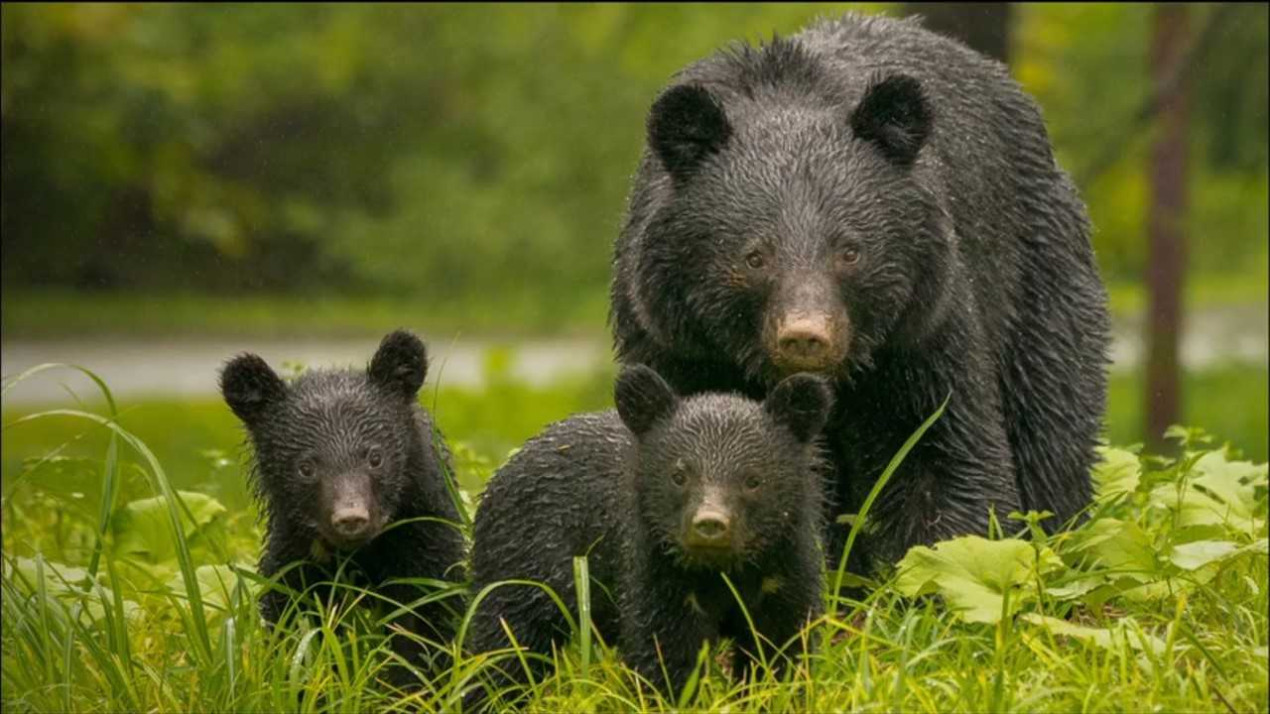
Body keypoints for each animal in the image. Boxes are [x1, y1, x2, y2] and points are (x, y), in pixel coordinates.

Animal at [609, 12, 1107, 566]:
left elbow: (936, 453)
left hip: (1036, 277)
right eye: (755, 256)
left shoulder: (919, 331)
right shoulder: (677, 340)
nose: (805, 336)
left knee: (1050, 420)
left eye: (849, 251)